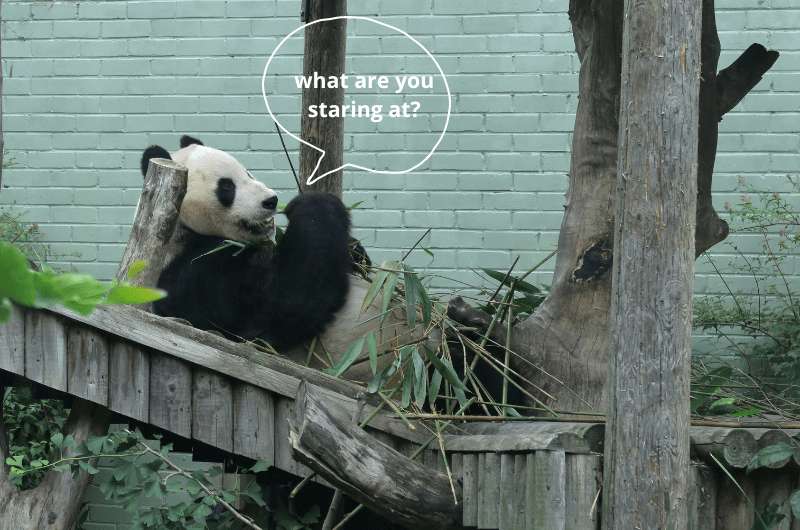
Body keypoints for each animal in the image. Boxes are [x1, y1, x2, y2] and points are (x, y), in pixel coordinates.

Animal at [143, 134, 416, 378]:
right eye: (227, 187)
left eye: (248, 173)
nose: (271, 200)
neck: (185, 230)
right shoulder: (202, 271)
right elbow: (281, 308)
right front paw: (311, 204)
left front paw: (354, 249)